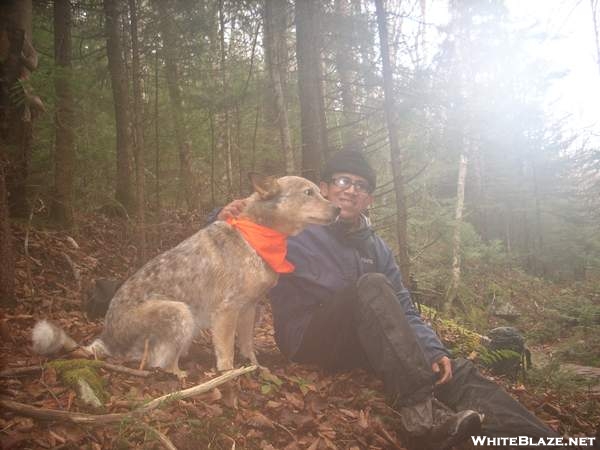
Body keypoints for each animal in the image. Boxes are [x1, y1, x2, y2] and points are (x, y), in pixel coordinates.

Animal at [32, 174, 340, 378]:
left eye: (319, 191)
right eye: (308, 192)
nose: (338, 209)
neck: (256, 237)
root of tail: (106, 338)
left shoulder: (249, 307)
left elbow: (248, 347)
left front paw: (255, 368)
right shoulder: (226, 311)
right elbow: (226, 352)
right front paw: (228, 376)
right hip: (181, 312)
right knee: (160, 364)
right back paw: (182, 376)